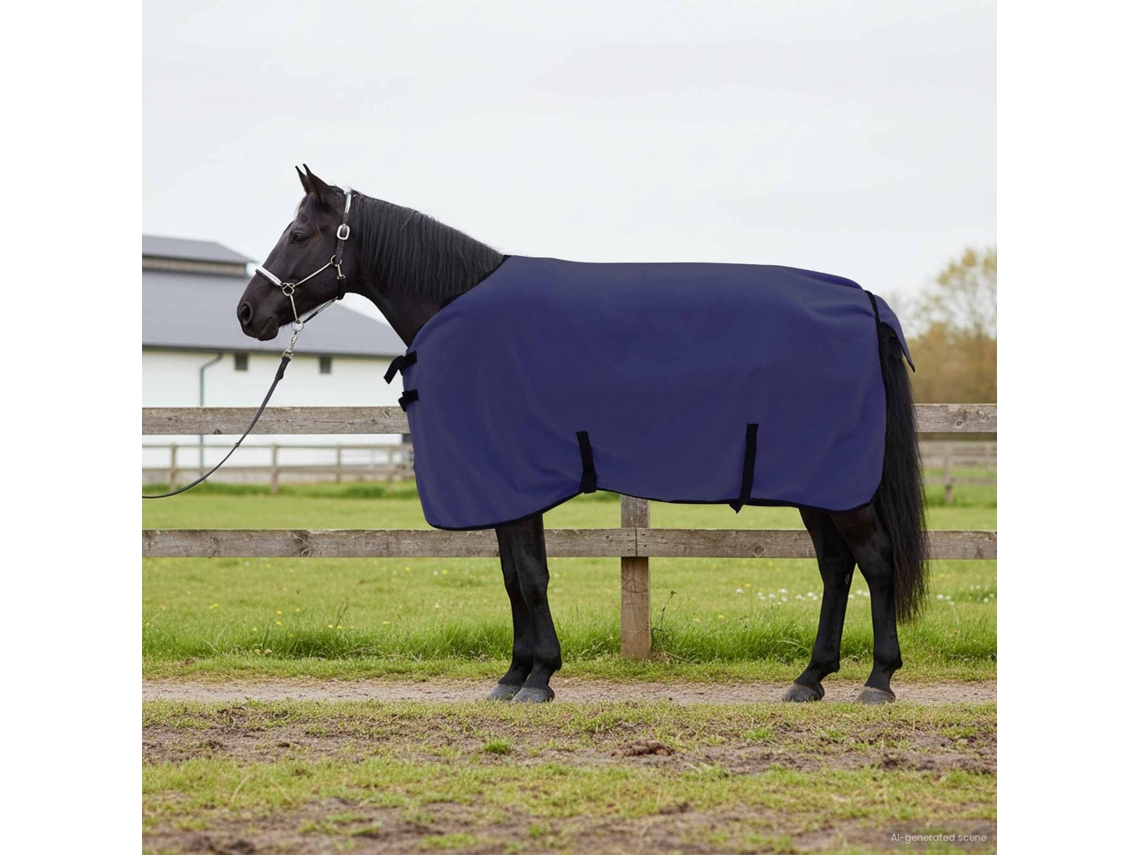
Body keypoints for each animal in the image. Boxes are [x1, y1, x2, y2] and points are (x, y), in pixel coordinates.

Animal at [237, 165, 928, 705]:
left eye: (298, 234)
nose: (248, 312)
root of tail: (864, 301)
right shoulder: (507, 488)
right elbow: (515, 575)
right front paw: (515, 674)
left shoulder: (516, 481)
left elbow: (531, 576)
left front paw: (538, 677)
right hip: (816, 483)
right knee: (836, 566)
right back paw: (810, 679)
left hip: (839, 483)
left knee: (876, 559)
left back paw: (878, 680)